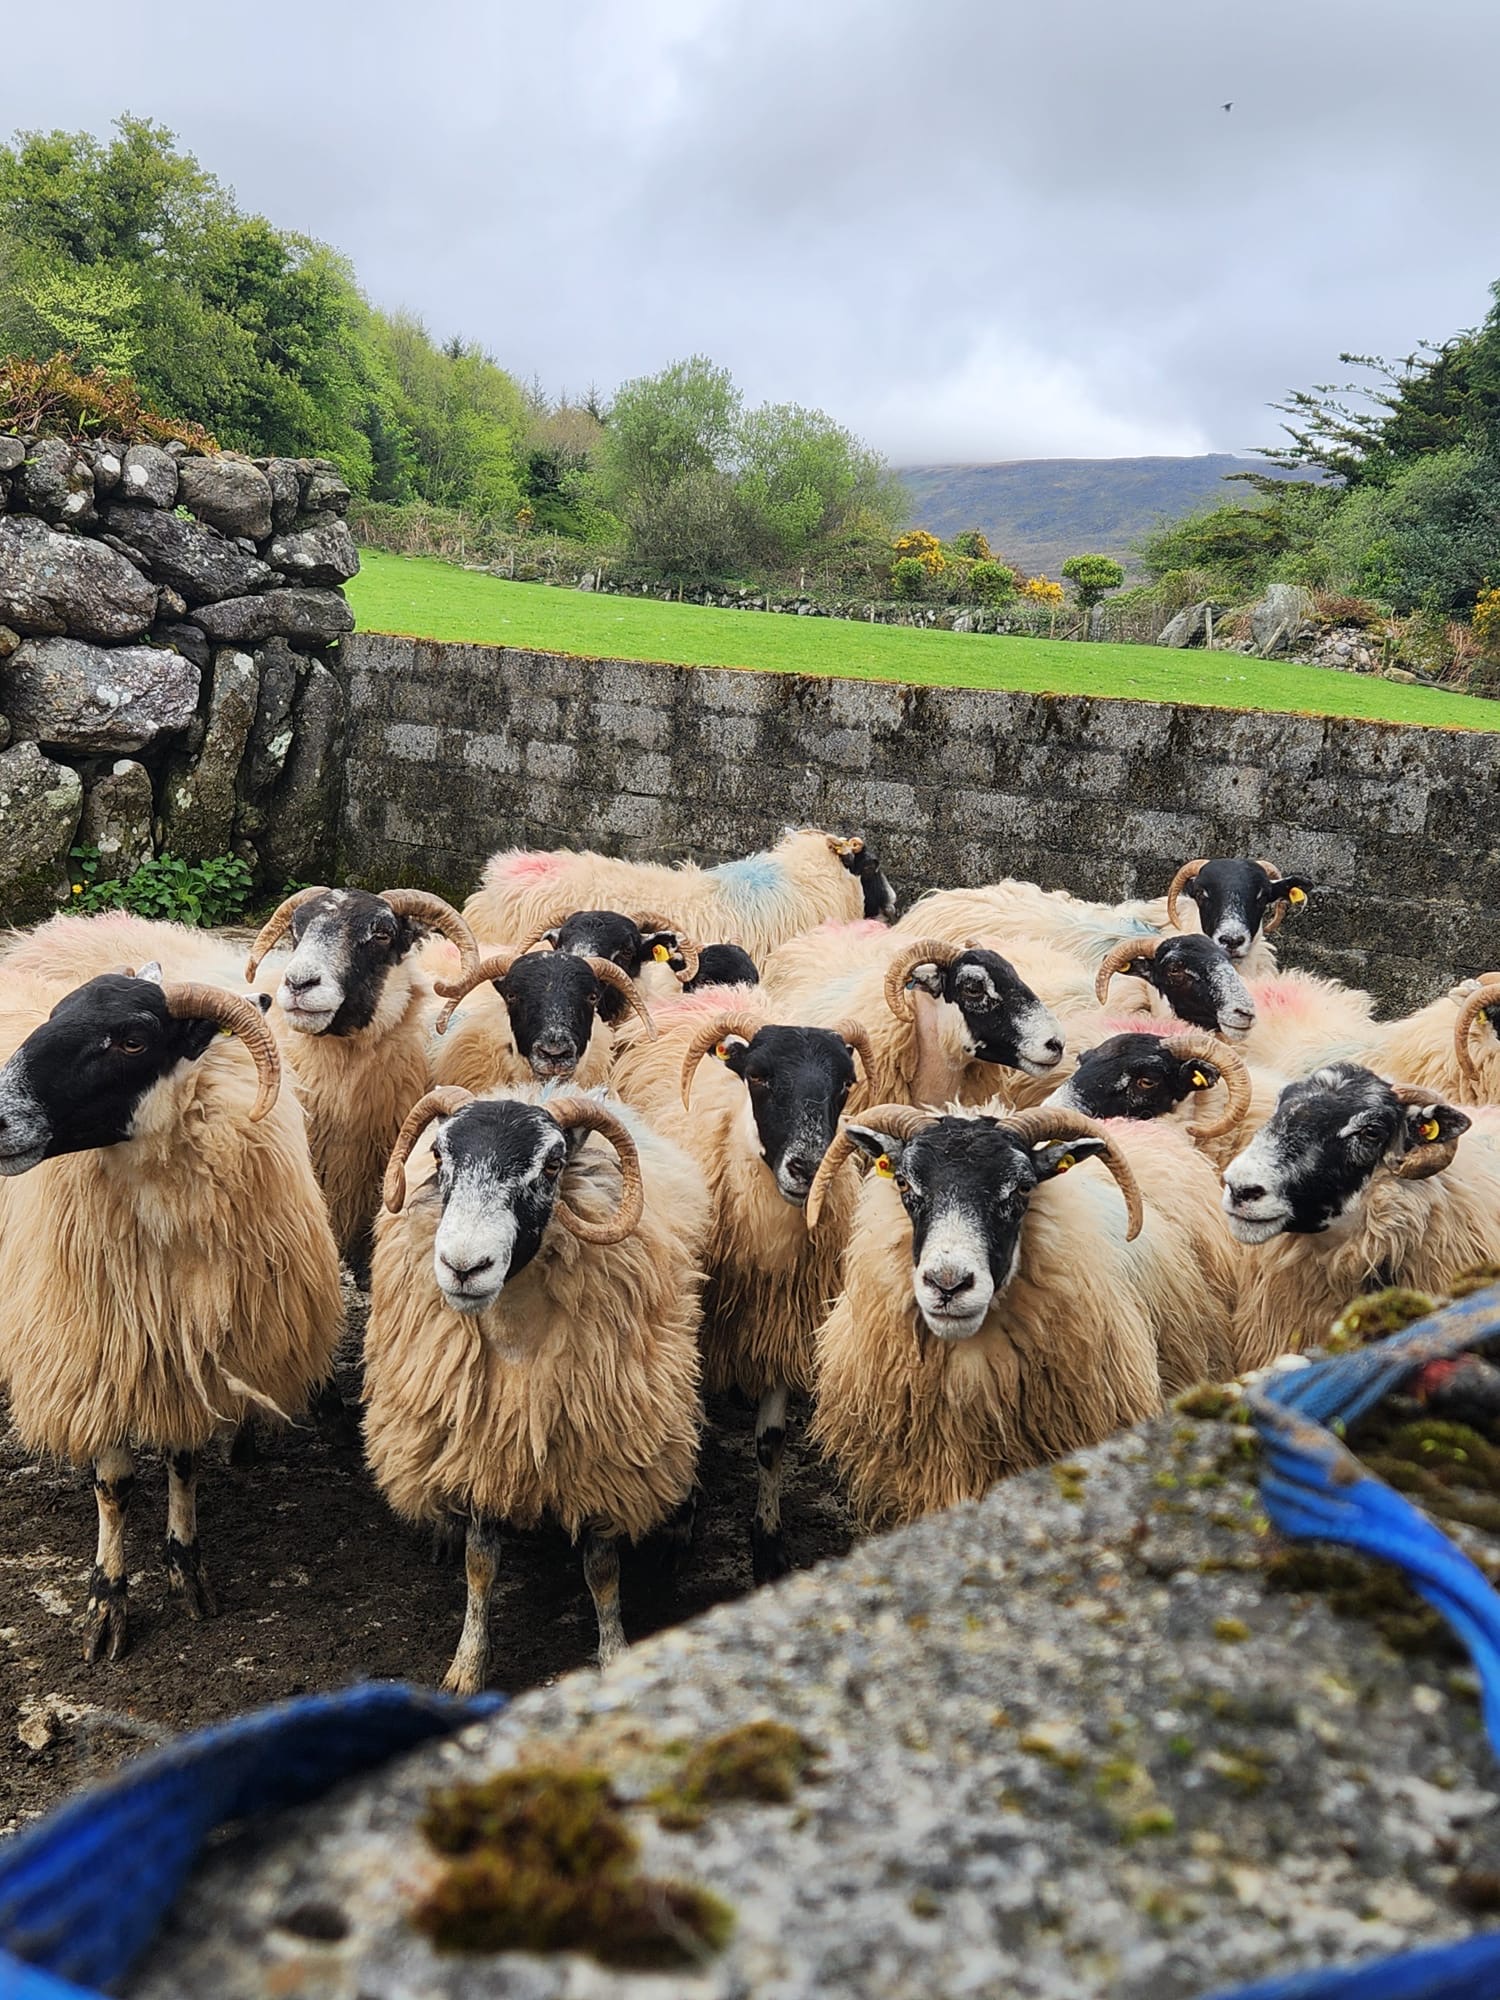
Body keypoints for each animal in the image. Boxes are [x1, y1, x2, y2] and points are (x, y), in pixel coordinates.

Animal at [0, 966, 343, 1658]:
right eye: (54, 1014)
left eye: (132, 1040)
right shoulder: (100, 1353)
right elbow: (114, 1485)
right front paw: (107, 1602)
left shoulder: (192, 1350)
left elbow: (184, 1463)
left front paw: (186, 1570)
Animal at [364, 1084, 709, 1690]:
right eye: (438, 1156)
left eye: (552, 1164)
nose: (464, 1267)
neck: (516, 1342)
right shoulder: (479, 1447)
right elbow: (480, 1563)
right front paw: (466, 1667)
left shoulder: (604, 1460)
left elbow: (602, 1570)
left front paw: (615, 1653)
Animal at [610, 992, 872, 1581]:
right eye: (758, 1077)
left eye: (845, 1084)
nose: (808, 1169)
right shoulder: (697, 1326)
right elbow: (692, 1424)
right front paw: (679, 1528)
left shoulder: (780, 1323)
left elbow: (771, 1444)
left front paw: (768, 1544)